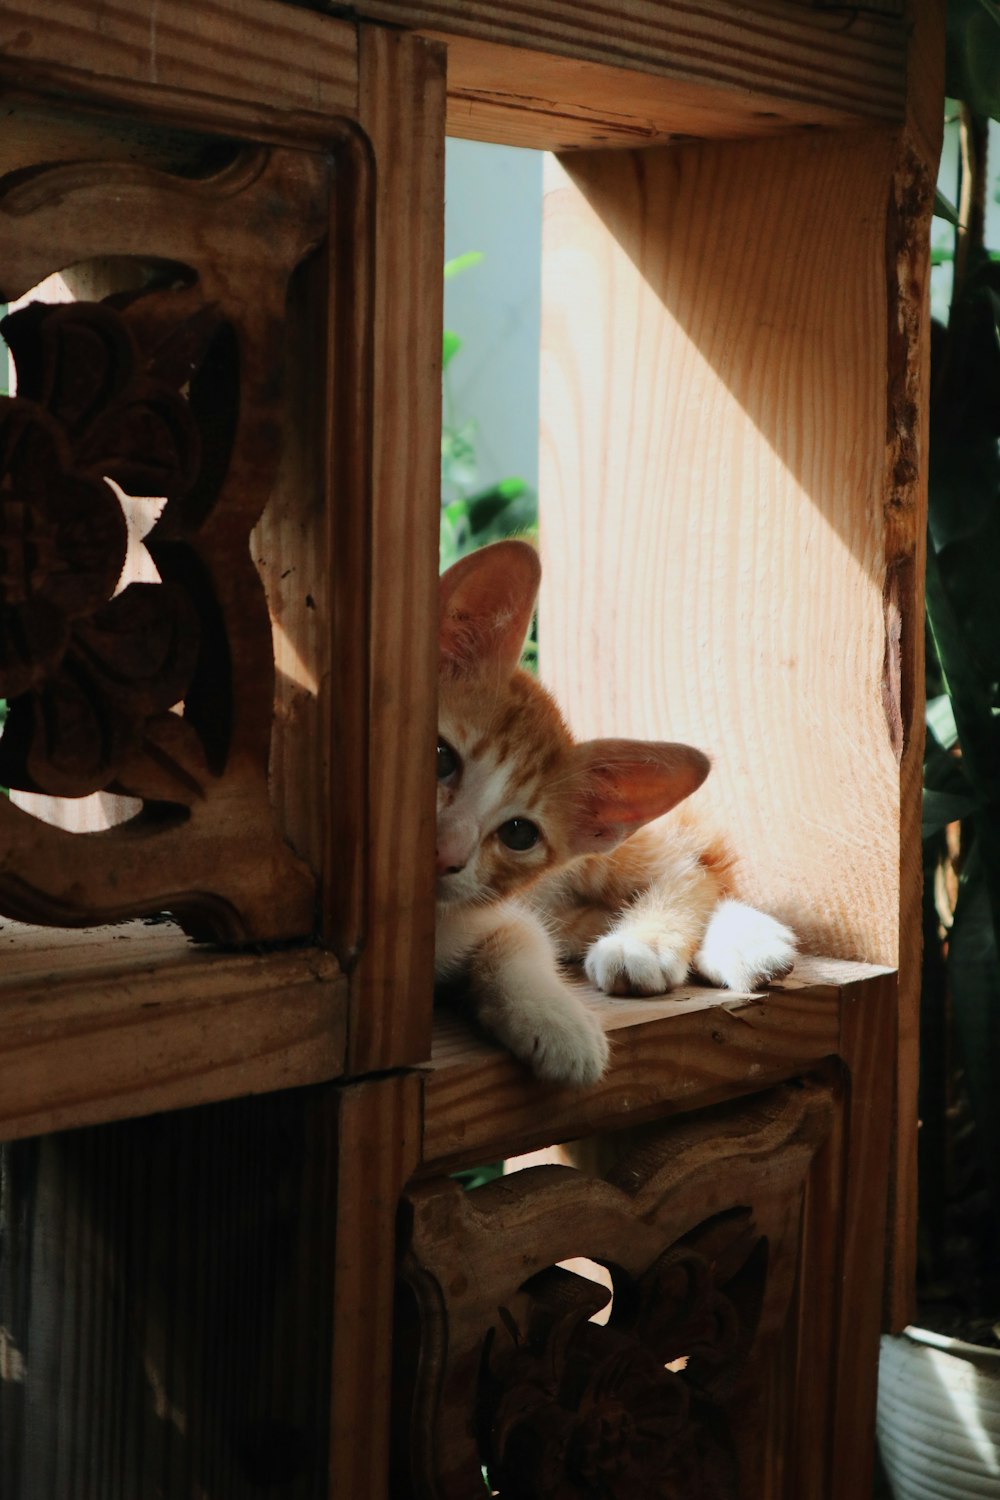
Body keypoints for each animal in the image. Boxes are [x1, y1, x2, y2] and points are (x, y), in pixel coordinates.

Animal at [437, 546, 797, 1086]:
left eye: (519, 833)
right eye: (440, 758)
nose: (445, 854)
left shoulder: (494, 908)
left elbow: (519, 940)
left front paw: (557, 1021)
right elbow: (522, 934)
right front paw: (556, 1020)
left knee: (689, 863)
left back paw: (674, 942)